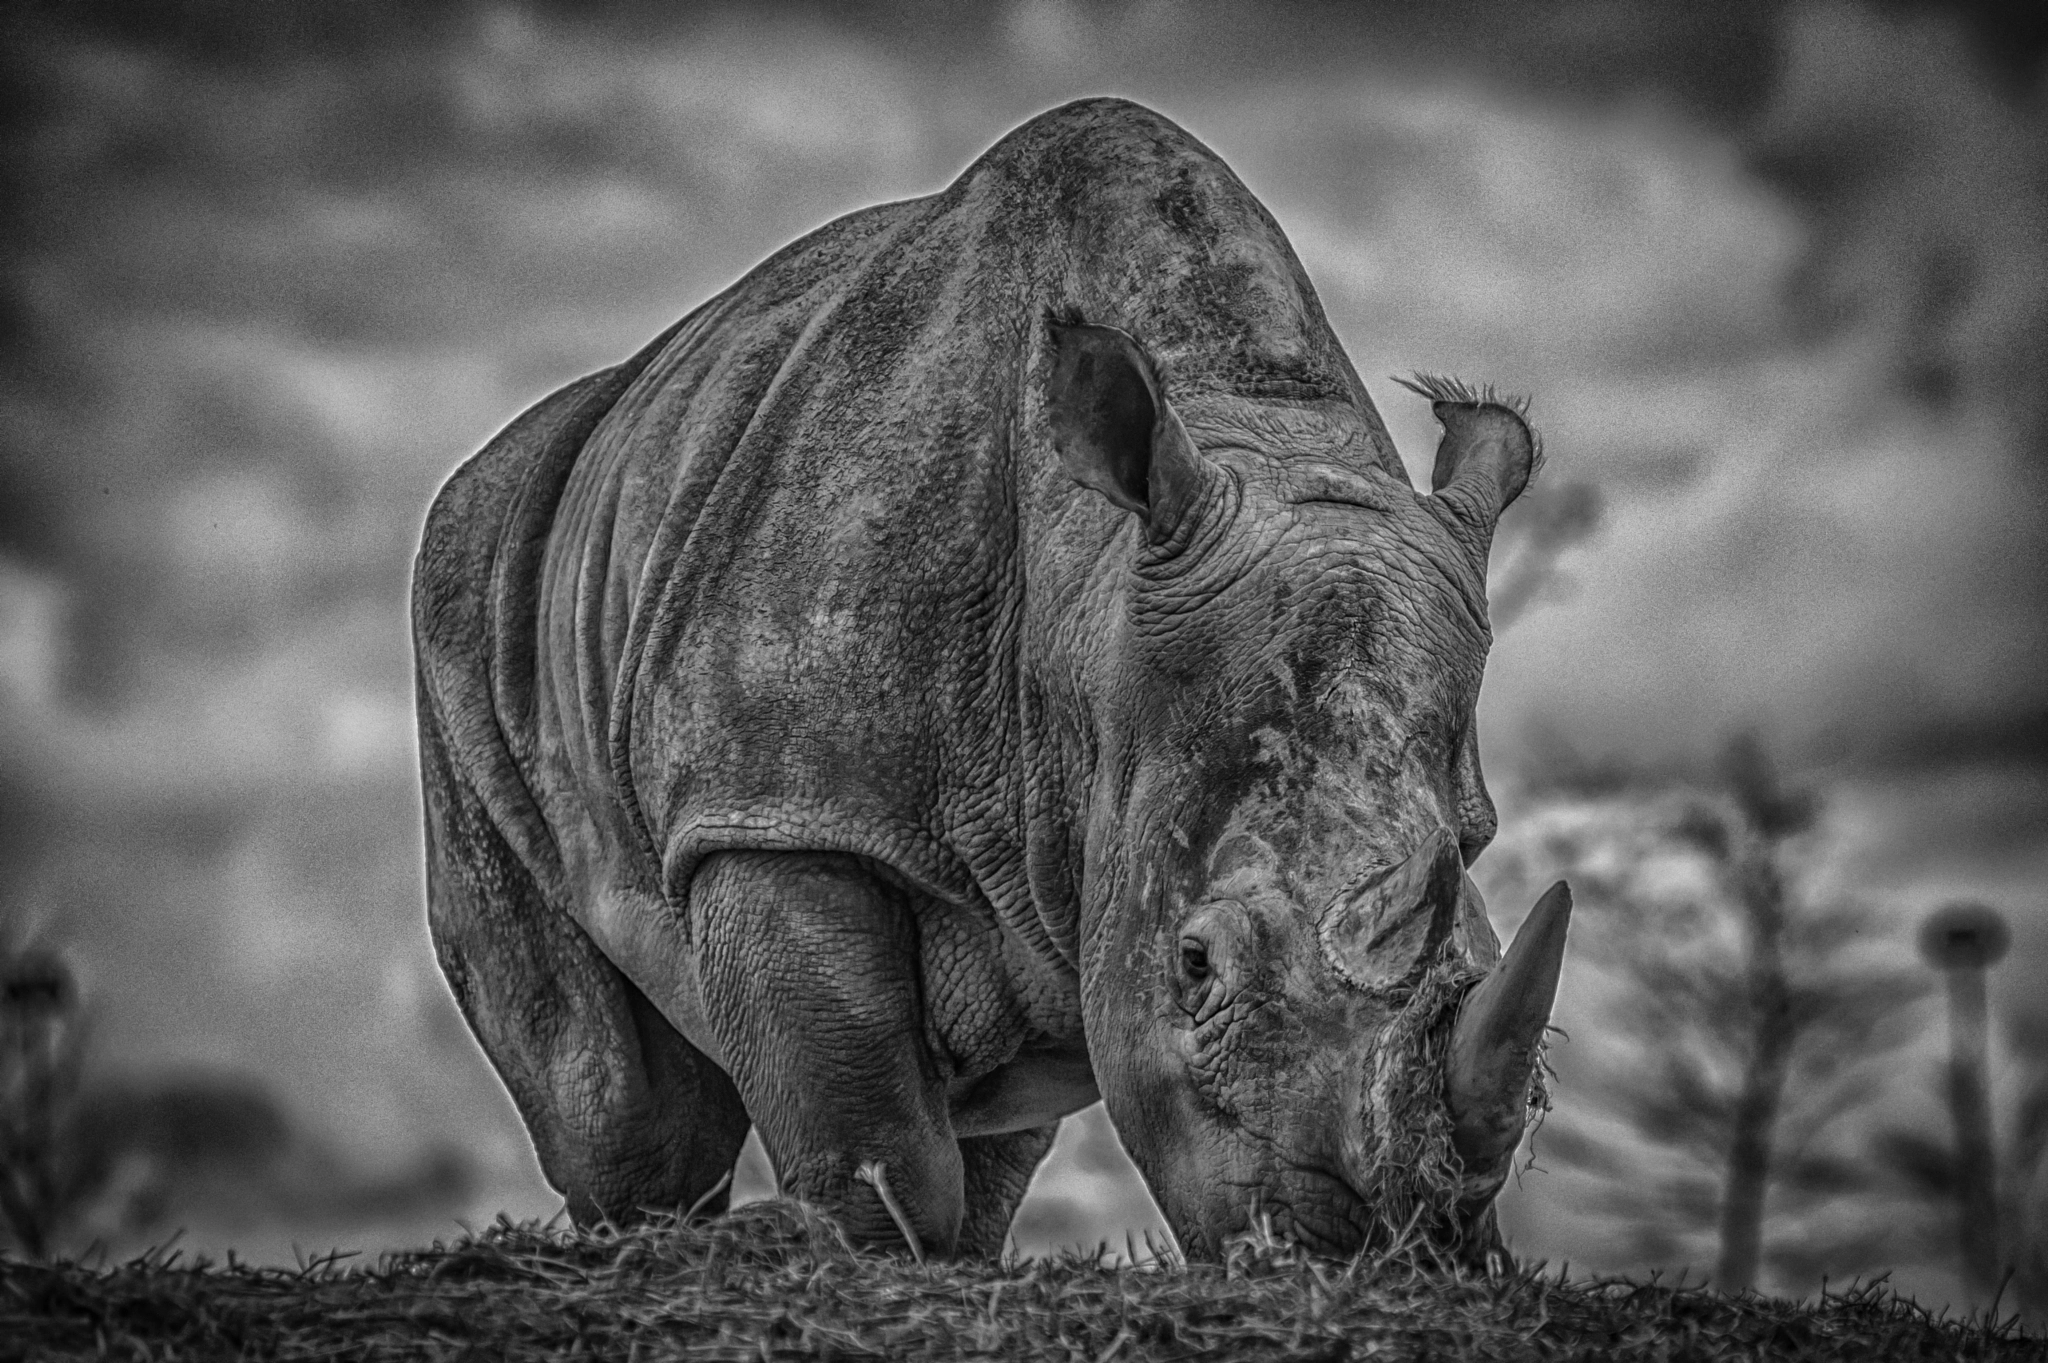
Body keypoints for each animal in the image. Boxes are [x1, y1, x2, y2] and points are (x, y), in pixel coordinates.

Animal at [412, 96, 1570, 1261]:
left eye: (1480, 913)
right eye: (1195, 964)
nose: (1378, 1248)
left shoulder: (1071, 854)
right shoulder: (775, 801)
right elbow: (868, 1125)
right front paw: (858, 1249)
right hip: (471, 594)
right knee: (614, 1101)